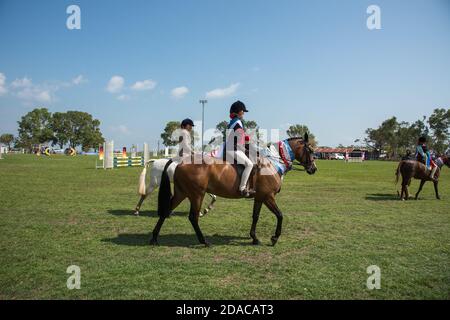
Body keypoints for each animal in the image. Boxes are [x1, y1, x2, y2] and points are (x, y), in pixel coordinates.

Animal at [150, 134, 316, 246]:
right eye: (310, 150)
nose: (314, 169)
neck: (272, 163)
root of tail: (181, 161)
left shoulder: (259, 198)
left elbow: (255, 216)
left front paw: (254, 238)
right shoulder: (268, 197)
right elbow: (280, 215)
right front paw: (274, 238)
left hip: (182, 193)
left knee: (166, 211)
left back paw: (154, 238)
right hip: (197, 195)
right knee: (193, 217)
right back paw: (204, 241)